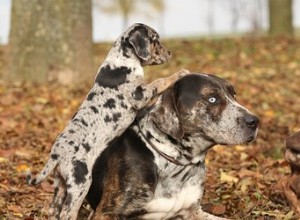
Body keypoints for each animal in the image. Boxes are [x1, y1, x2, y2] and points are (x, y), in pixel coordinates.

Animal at [27, 23, 189, 219]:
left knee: (54, 209)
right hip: (80, 182)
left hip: (61, 185)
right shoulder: (140, 94)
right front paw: (180, 73)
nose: (169, 53)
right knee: (67, 212)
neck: (122, 60)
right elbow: (159, 81)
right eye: (154, 40)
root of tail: (56, 154)